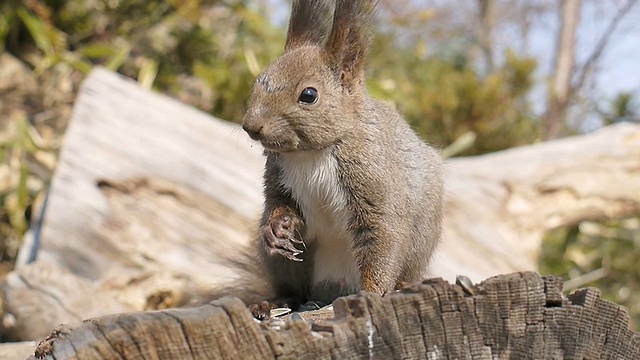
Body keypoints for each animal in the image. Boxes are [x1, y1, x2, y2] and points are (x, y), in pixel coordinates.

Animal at [239, 0, 440, 318]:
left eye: (309, 95)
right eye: (259, 81)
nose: (251, 126)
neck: (310, 154)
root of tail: (333, 289)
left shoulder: (375, 179)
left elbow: (383, 234)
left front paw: (373, 295)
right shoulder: (278, 177)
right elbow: (278, 203)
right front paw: (278, 227)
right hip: (290, 264)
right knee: (294, 291)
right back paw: (273, 302)